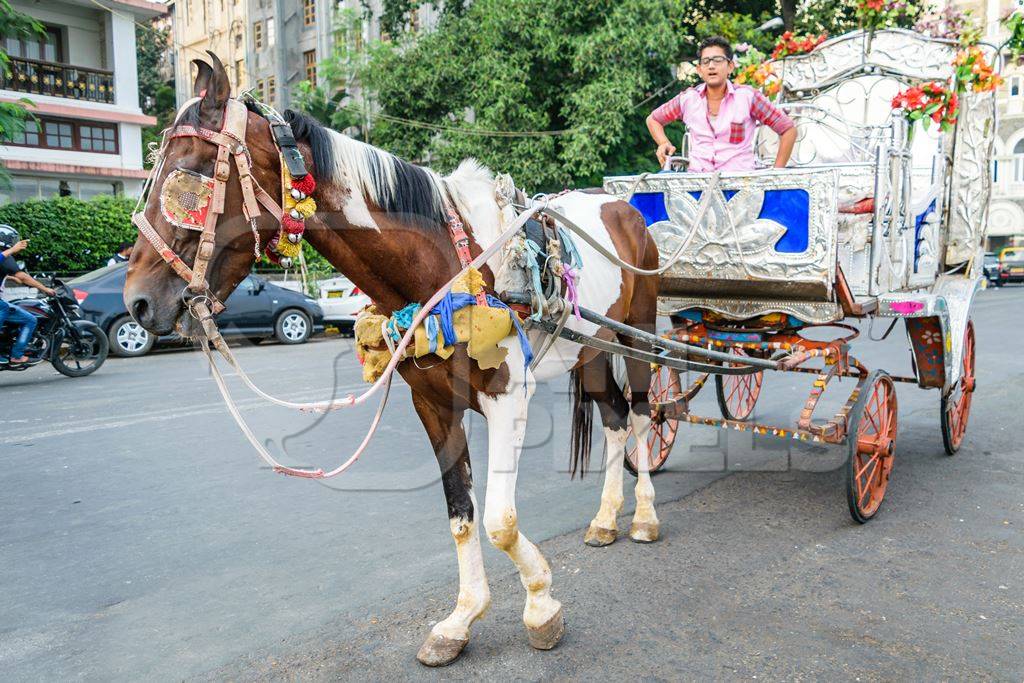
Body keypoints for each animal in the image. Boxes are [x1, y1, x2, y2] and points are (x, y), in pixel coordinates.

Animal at [123, 56, 659, 663]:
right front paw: (461, 619)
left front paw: (541, 607)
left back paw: (643, 517)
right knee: (614, 420)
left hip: (639, 332)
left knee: (643, 414)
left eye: (187, 176)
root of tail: (619, 203)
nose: (138, 302)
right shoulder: (432, 403)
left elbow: (499, 520)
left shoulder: (507, 396)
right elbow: (460, 514)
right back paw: (605, 519)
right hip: (592, 348)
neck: (446, 261)